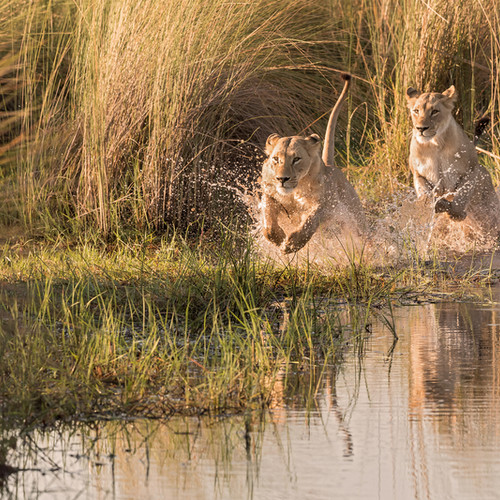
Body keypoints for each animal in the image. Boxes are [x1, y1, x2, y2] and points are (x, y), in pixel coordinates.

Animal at [260, 73, 366, 254]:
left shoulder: (323, 204)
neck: (294, 191)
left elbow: (311, 220)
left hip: (355, 217)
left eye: (296, 159)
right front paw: (278, 238)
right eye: (276, 159)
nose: (282, 179)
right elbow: (268, 219)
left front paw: (293, 243)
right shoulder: (270, 194)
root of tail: (331, 166)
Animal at [406, 85, 500, 242]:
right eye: (416, 111)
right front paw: (438, 204)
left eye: (435, 111)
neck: (435, 145)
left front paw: (456, 214)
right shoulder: (418, 174)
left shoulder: (471, 170)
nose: (420, 129)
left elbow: (463, 193)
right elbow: (426, 193)